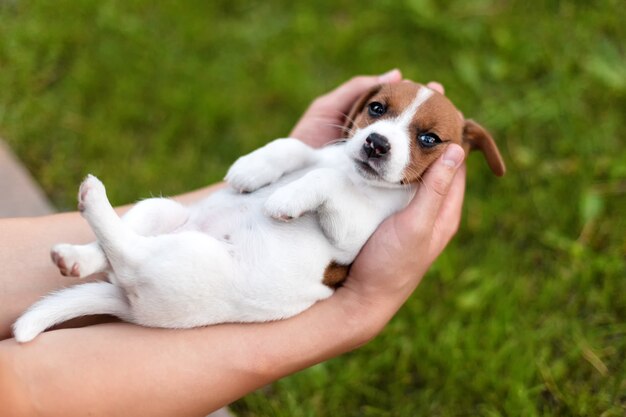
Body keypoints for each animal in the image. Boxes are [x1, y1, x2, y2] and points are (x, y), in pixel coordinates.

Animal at [12, 81, 504, 342]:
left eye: (428, 139)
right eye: (376, 108)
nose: (376, 144)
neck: (354, 169)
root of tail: (128, 305)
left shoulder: (354, 236)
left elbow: (330, 185)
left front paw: (285, 199)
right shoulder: (319, 152)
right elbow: (293, 146)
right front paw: (253, 169)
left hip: (186, 257)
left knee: (127, 250)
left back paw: (93, 200)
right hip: (160, 212)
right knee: (115, 243)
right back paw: (75, 255)